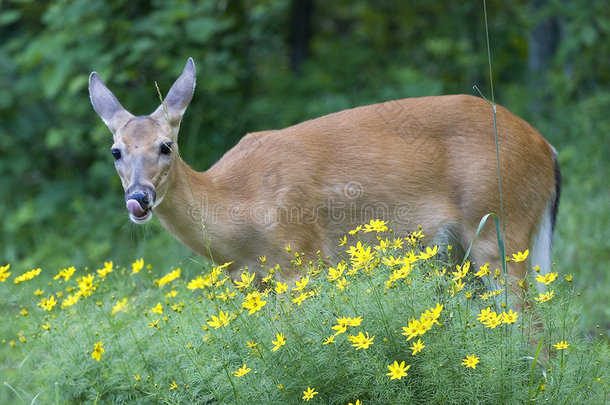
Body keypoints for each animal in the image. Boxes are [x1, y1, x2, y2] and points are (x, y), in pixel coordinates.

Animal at [88, 56, 560, 286]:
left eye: (166, 146)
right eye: (115, 151)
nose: (139, 198)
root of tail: (547, 148)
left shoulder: (301, 257)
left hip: (499, 226)